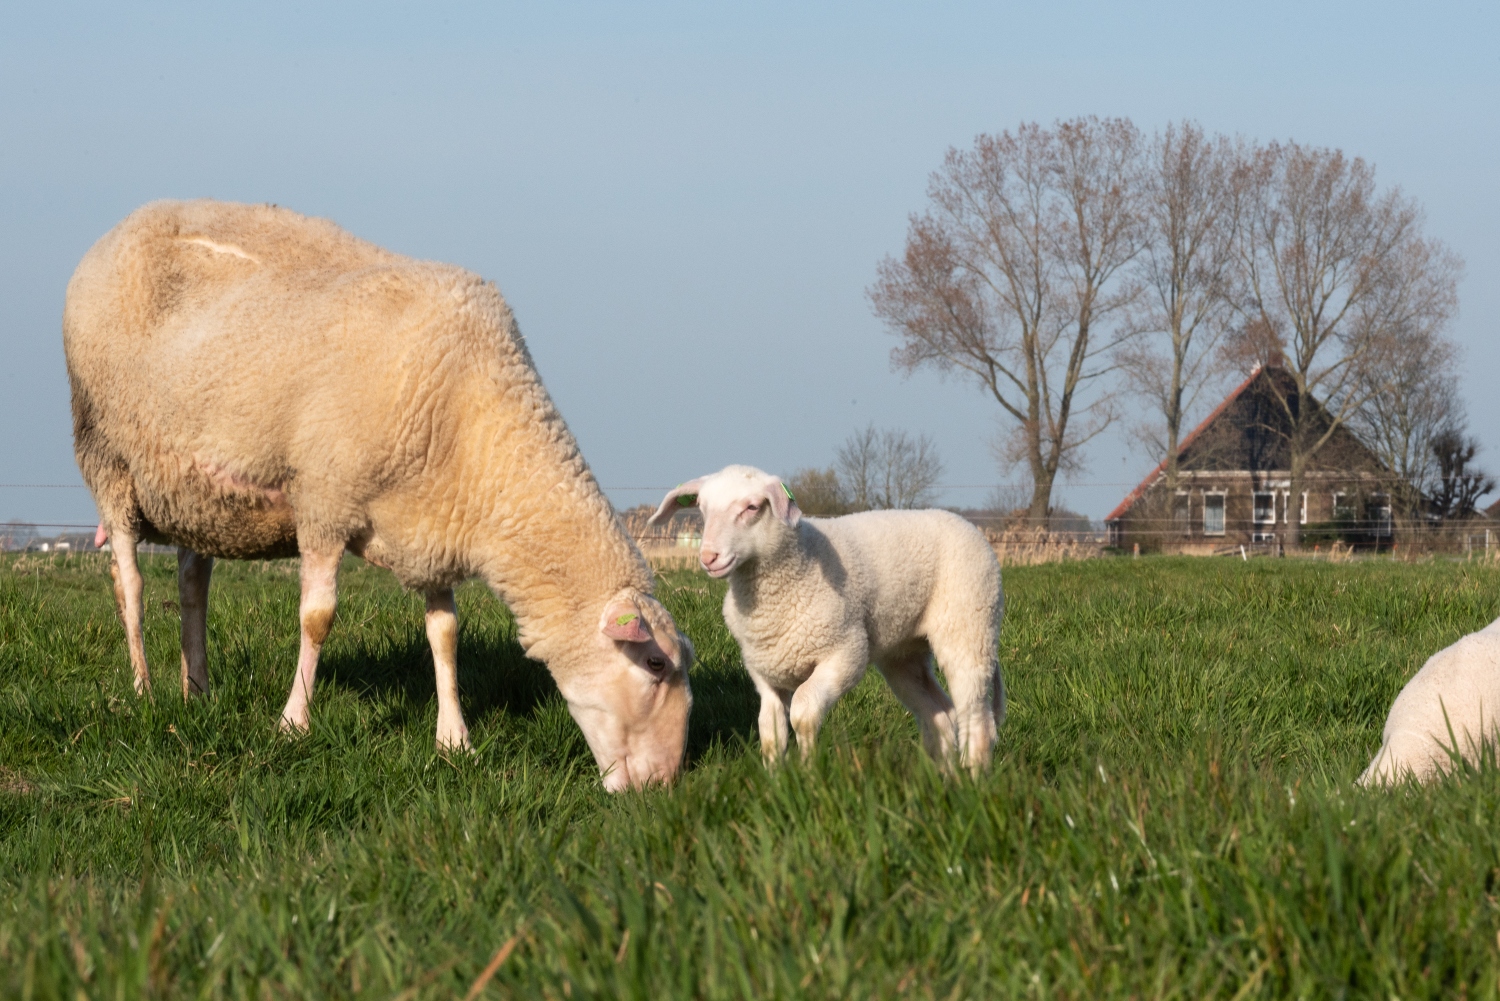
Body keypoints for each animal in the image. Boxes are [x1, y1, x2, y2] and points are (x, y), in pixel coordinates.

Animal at [60, 198, 690, 792]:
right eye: (655, 663)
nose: (662, 786)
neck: (473, 423)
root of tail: (122, 228)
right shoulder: (323, 501)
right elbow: (317, 618)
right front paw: (293, 723)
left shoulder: (432, 521)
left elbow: (445, 633)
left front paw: (454, 740)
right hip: (108, 458)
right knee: (129, 584)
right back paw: (144, 690)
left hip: (197, 494)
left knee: (193, 584)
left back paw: (198, 691)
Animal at [648, 465, 1008, 774]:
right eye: (702, 508)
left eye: (751, 507)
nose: (709, 557)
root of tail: (965, 524)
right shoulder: (763, 670)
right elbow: (770, 728)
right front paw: (776, 779)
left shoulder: (846, 653)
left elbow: (803, 712)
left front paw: (808, 770)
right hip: (904, 654)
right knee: (940, 712)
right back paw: (943, 775)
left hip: (969, 627)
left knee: (976, 715)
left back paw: (973, 775)